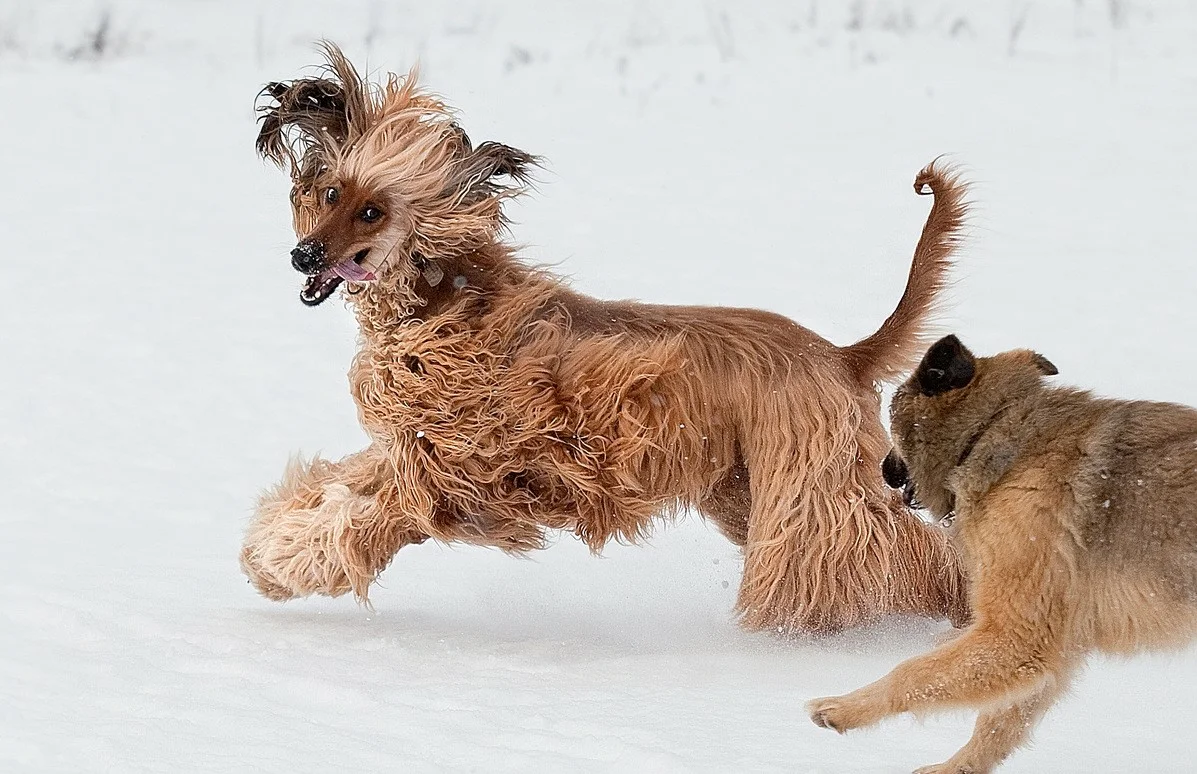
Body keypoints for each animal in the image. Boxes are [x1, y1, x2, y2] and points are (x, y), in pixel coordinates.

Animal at [240, 43, 971, 636]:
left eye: (372, 210)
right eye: (330, 192)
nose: (303, 256)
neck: (443, 302)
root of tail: (843, 356)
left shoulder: (458, 472)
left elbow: (367, 521)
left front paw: (287, 560)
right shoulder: (410, 445)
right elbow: (340, 482)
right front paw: (267, 548)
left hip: (807, 498)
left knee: (883, 558)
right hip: (747, 490)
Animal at [809, 334, 1197, 770]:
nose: (882, 469)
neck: (989, 432)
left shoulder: (1016, 633)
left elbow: (914, 672)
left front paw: (843, 708)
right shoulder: (1048, 643)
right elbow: (1000, 722)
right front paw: (955, 768)